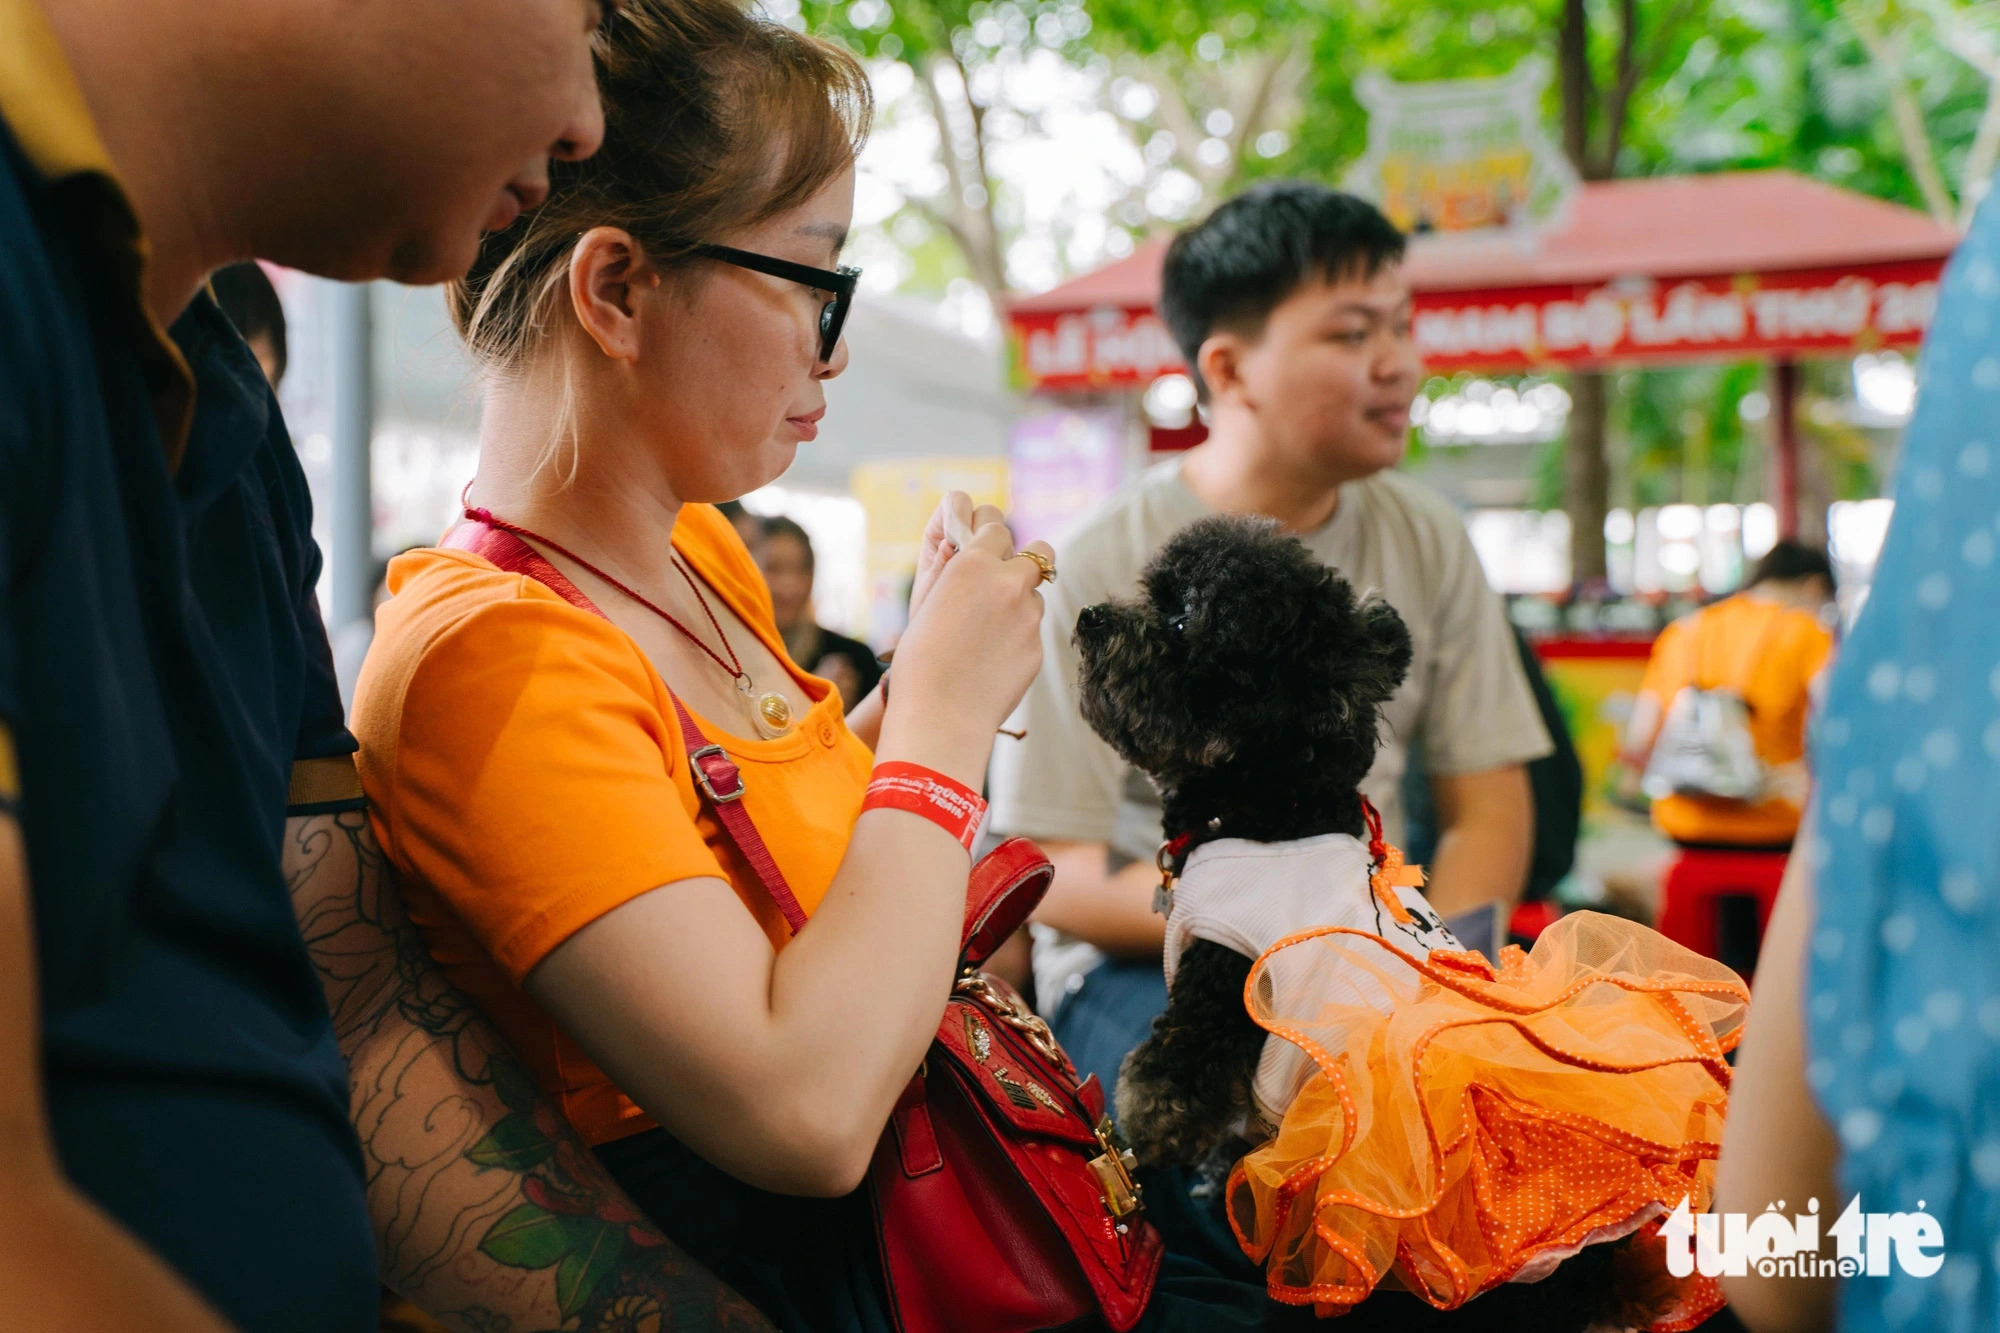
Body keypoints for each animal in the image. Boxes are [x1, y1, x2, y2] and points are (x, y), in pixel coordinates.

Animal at [1088, 512, 1664, 1328]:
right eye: (1155, 593)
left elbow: (1166, 1087)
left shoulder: (1218, 989)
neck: (1273, 811)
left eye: (1183, 616)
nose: (1086, 618)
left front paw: (1147, 1138)